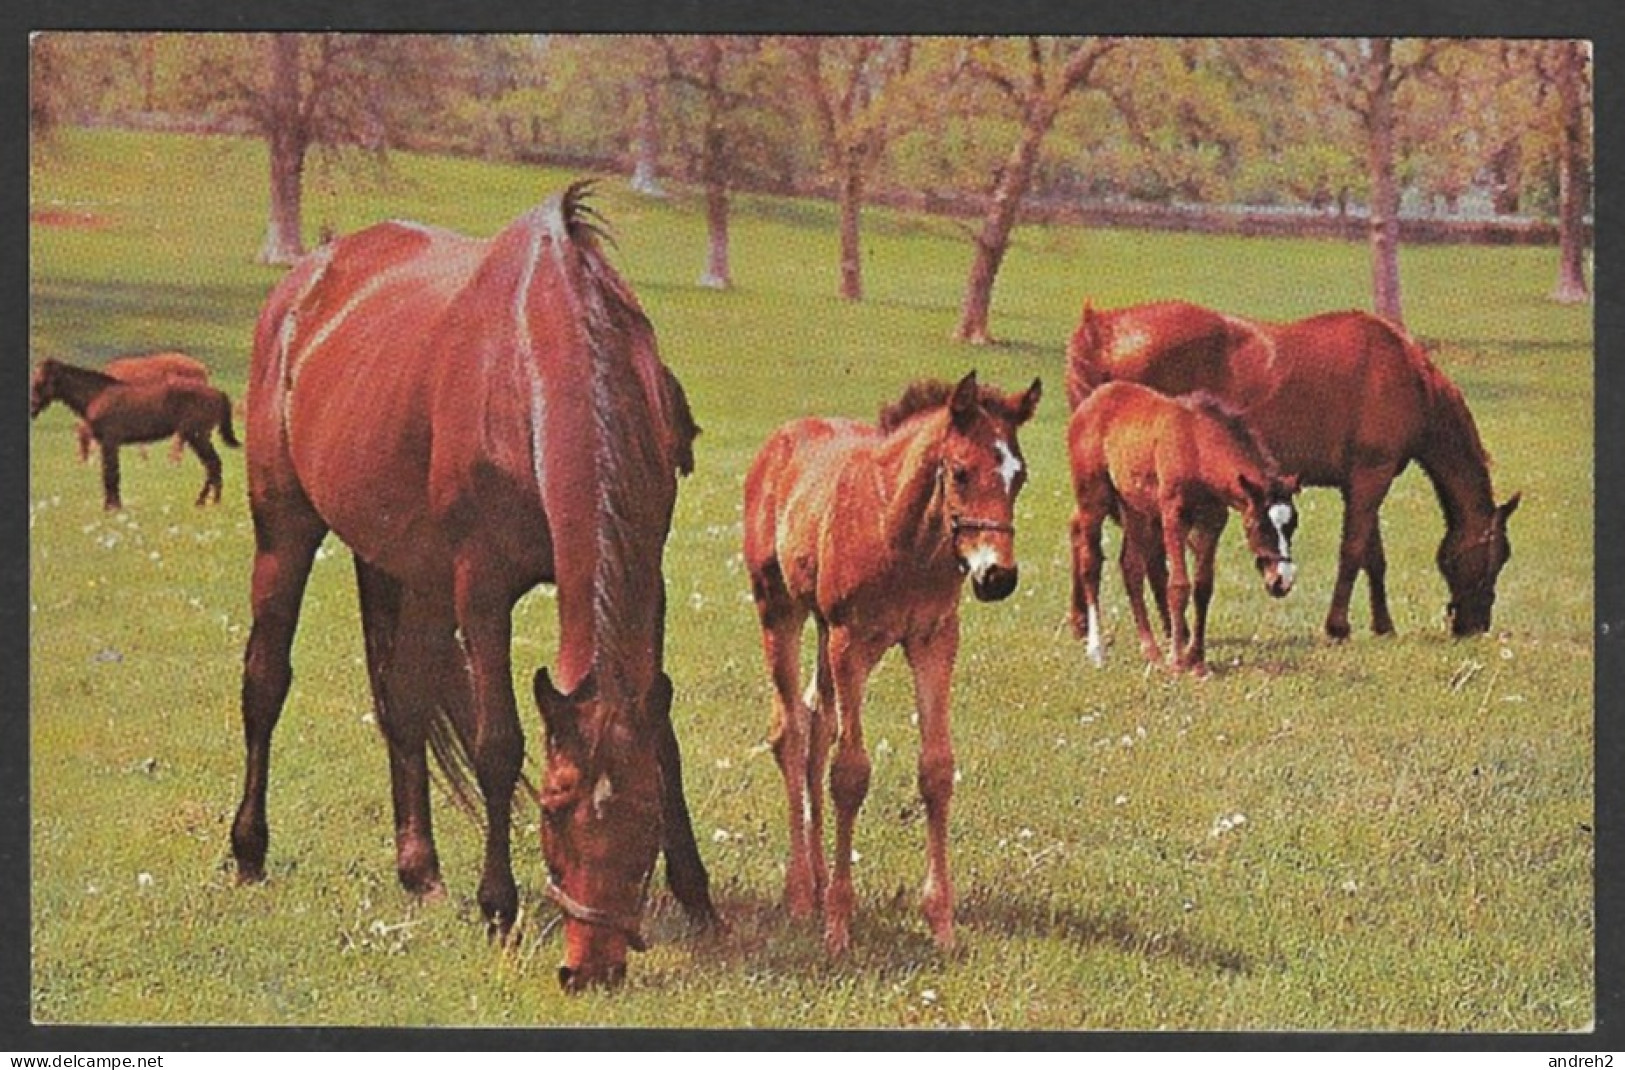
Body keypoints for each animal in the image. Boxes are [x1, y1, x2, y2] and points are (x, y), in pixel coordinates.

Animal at [28, 356, 238, 510]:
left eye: (40, 381)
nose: (32, 408)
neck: (97, 395)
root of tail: (218, 393)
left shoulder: (110, 442)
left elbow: (111, 474)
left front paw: (111, 507)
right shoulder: (110, 444)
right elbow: (111, 473)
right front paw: (114, 505)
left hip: (197, 436)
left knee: (212, 464)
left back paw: (206, 501)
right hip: (198, 437)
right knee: (213, 465)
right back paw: (210, 501)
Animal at [232, 181, 715, 982]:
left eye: (643, 824)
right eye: (551, 813)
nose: (590, 969)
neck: (530, 362)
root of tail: (307, 281)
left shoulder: (648, 576)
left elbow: (664, 737)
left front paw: (699, 895)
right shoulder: (482, 589)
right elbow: (498, 745)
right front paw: (498, 905)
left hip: (407, 568)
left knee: (402, 703)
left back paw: (419, 871)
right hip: (285, 531)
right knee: (264, 683)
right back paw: (247, 852)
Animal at [744, 369, 1040, 949]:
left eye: (1019, 477)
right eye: (961, 473)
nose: (998, 576)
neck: (902, 534)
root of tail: (777, 444)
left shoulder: (934, 639)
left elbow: (937, 769)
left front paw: (942, 924)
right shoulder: (851, 641)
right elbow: (850, 773)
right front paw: (839, 925)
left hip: (822, 628)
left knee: (816, 722)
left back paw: (816, 881)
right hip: (781, 611)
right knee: (791, 731)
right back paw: (801, 894)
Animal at [1066, 378, 1306, 669]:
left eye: (1293, 524)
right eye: (1260, 526)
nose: (1282, 580)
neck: (1197, 448)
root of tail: (1090, 402)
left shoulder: (1212, 523)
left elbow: (1203, 586)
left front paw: (1197, 659)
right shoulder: (1173, 518)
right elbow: (1178, 586)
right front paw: (1178, 660)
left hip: (1135, 510)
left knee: (1131, 567)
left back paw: (1151, 650)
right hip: (1093, 501)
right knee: (1091, 564)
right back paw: (1096, 648)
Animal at [1072, 299, 1514, 634]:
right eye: (1498, 556)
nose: (1475, 624)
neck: (1408, 375)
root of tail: (1101, 328)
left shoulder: (1361, 480)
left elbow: (1373, 555)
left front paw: (1382, 625)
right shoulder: (1372, 476)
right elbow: (1354, 551)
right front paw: (1338, 626)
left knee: (1082, 532)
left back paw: (1083, 622)